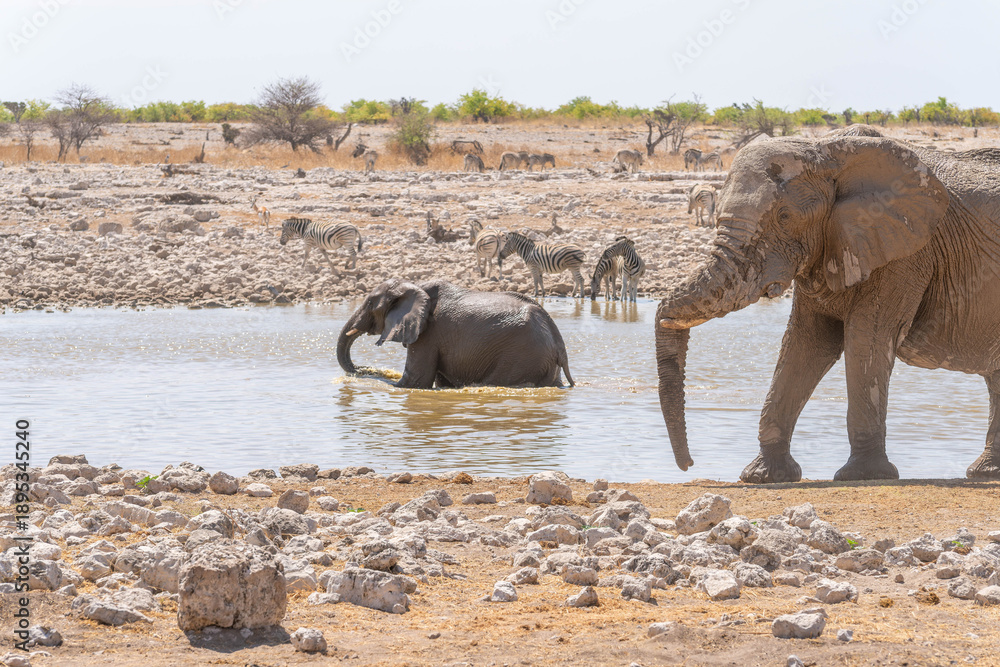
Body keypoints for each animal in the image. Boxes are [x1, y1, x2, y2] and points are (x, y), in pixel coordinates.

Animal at [337, 279, 574, 389]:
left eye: (370, 303)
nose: (362, 370)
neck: (415, 286)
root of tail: (559, 345)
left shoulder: (429, 334)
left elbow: (415, 382)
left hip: (522, 355)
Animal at [655, 125, 1000, 483]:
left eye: (784, 216)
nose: (689, 464)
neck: (829, 151)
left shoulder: (906, 254)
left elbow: (867, 340)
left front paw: (863, 475)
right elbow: (805, 343)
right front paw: (764, 476)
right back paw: (985, 472)